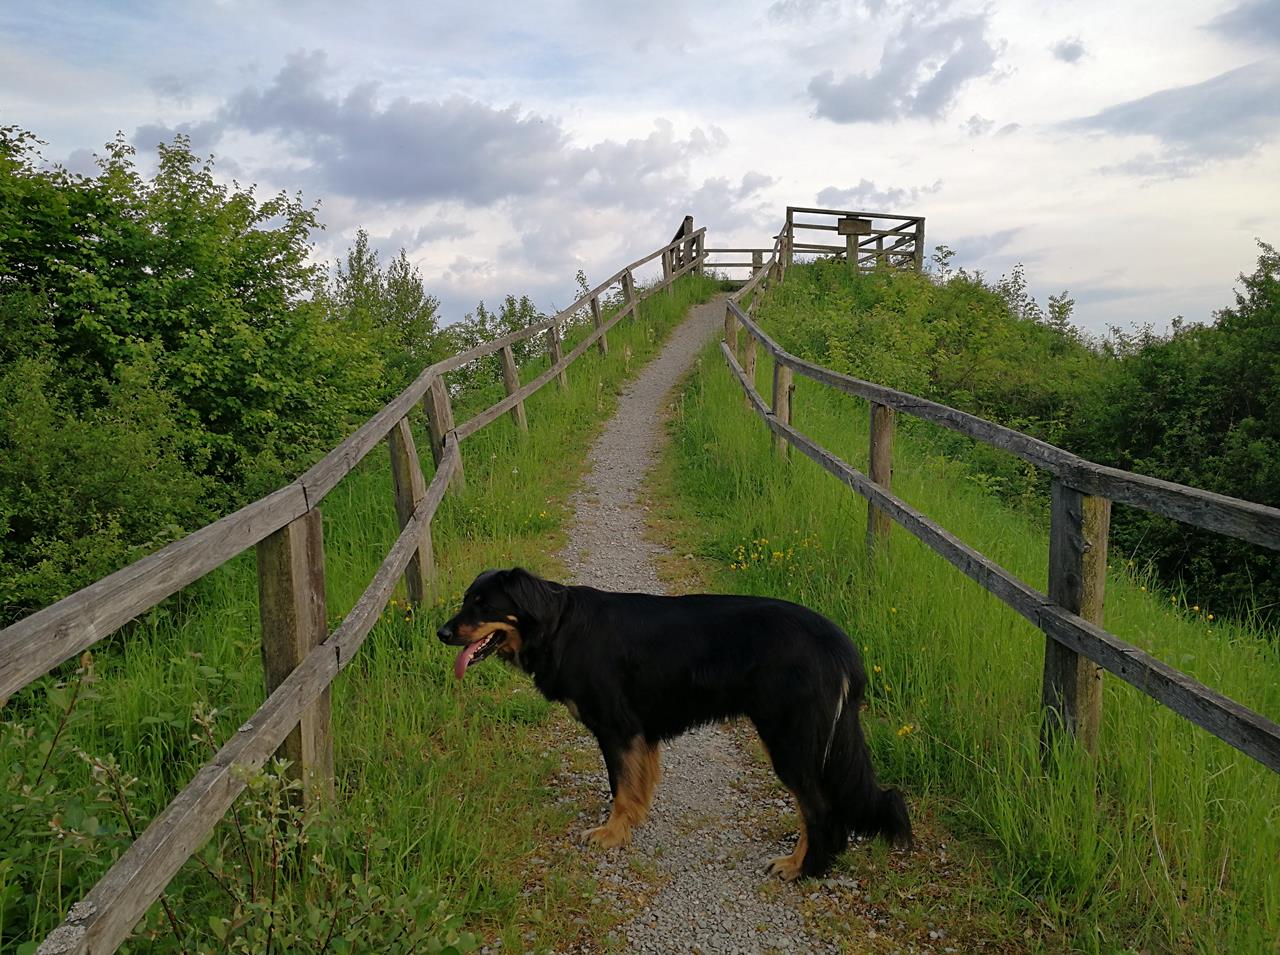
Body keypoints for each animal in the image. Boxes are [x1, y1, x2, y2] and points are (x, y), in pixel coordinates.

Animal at [437, 567, 912, 879]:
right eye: (465, 600)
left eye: (483, 605)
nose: (441, 632)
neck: (558, 627)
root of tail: (841, 647)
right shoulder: (640, 734)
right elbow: (635, 787)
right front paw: (629, 824)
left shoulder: (618, 729)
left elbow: (620, 787)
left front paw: (611, 833)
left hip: (789, 741)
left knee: (820, 811)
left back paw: (802, 867)